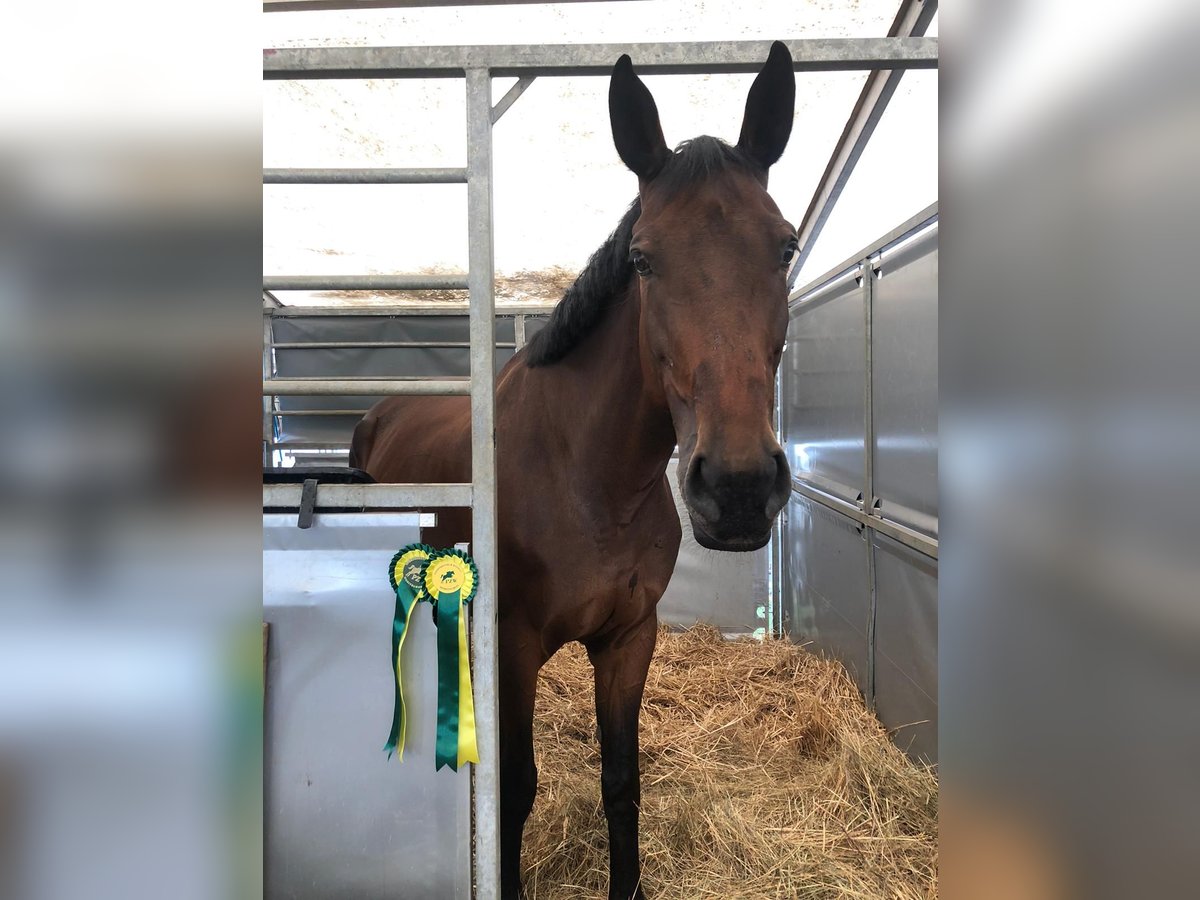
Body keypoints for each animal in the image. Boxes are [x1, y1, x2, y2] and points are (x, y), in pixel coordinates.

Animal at [352, 44, 796, 900]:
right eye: (644, 259)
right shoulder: (514, 644)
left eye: (786, 246)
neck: (590, 483)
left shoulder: (629, 638)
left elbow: (622, 780)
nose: (738, 487)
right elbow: (516, 788)